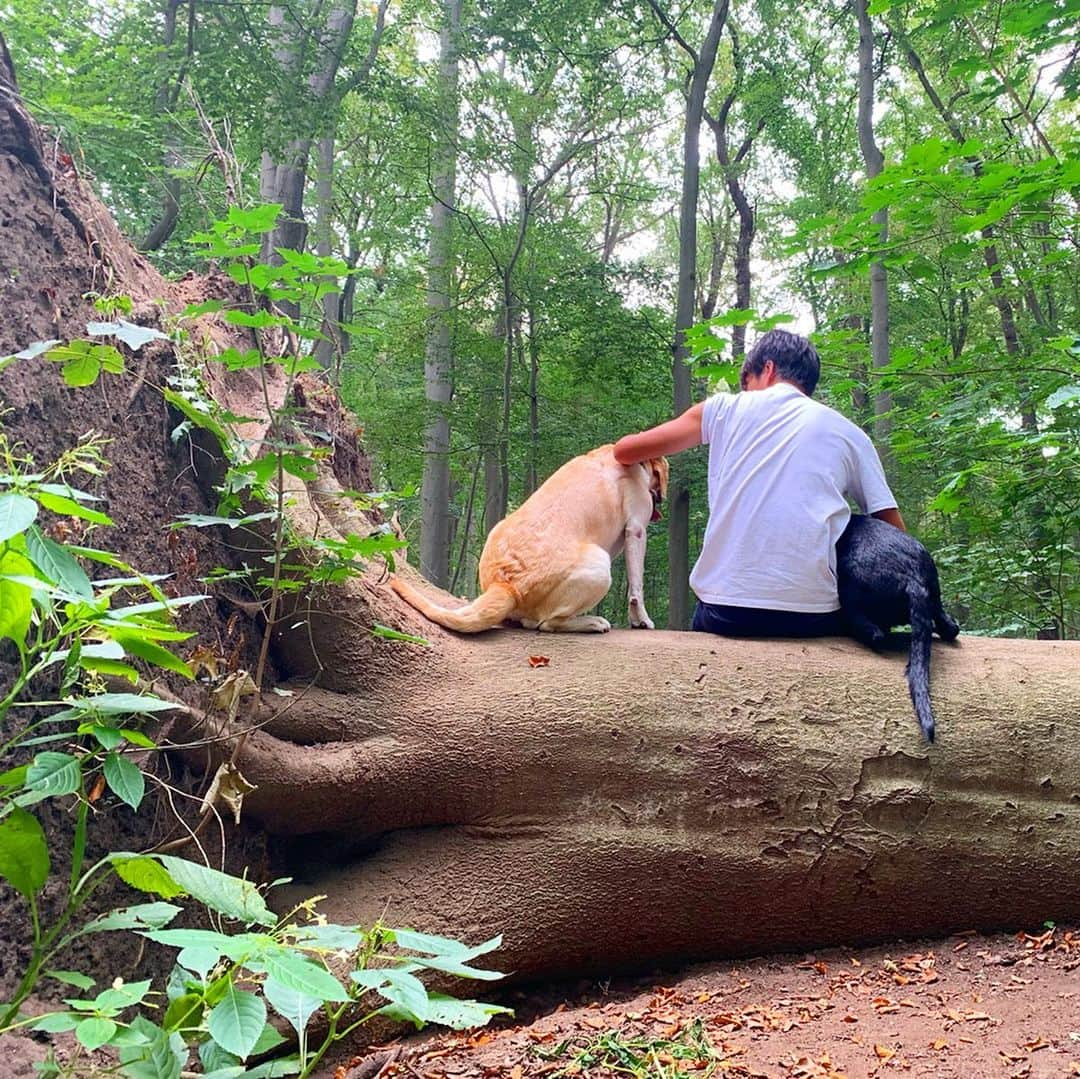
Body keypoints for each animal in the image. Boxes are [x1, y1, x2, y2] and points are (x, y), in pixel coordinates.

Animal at [393, 444, 669, 630]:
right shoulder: (636, 530)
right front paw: (642, 620)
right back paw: (591, 622)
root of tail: (505, 585)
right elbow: (637, 588)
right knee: (545, 623)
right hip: (599, 563)